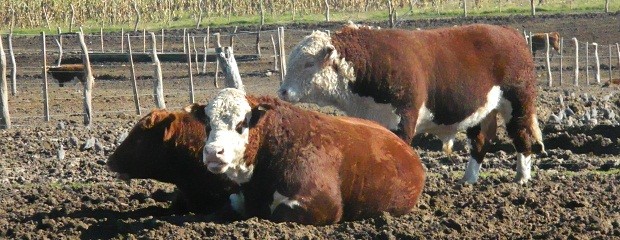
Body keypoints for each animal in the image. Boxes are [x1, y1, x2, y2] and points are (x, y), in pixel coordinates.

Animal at [278, 23, 544, 184]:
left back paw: (522, 177)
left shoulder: (402, 119)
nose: (282, 91)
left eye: (308, 63)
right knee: (480, 142)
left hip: (518, 103)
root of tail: (510, 33)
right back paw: (468, 180)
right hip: (480, 111)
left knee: (521, 137)